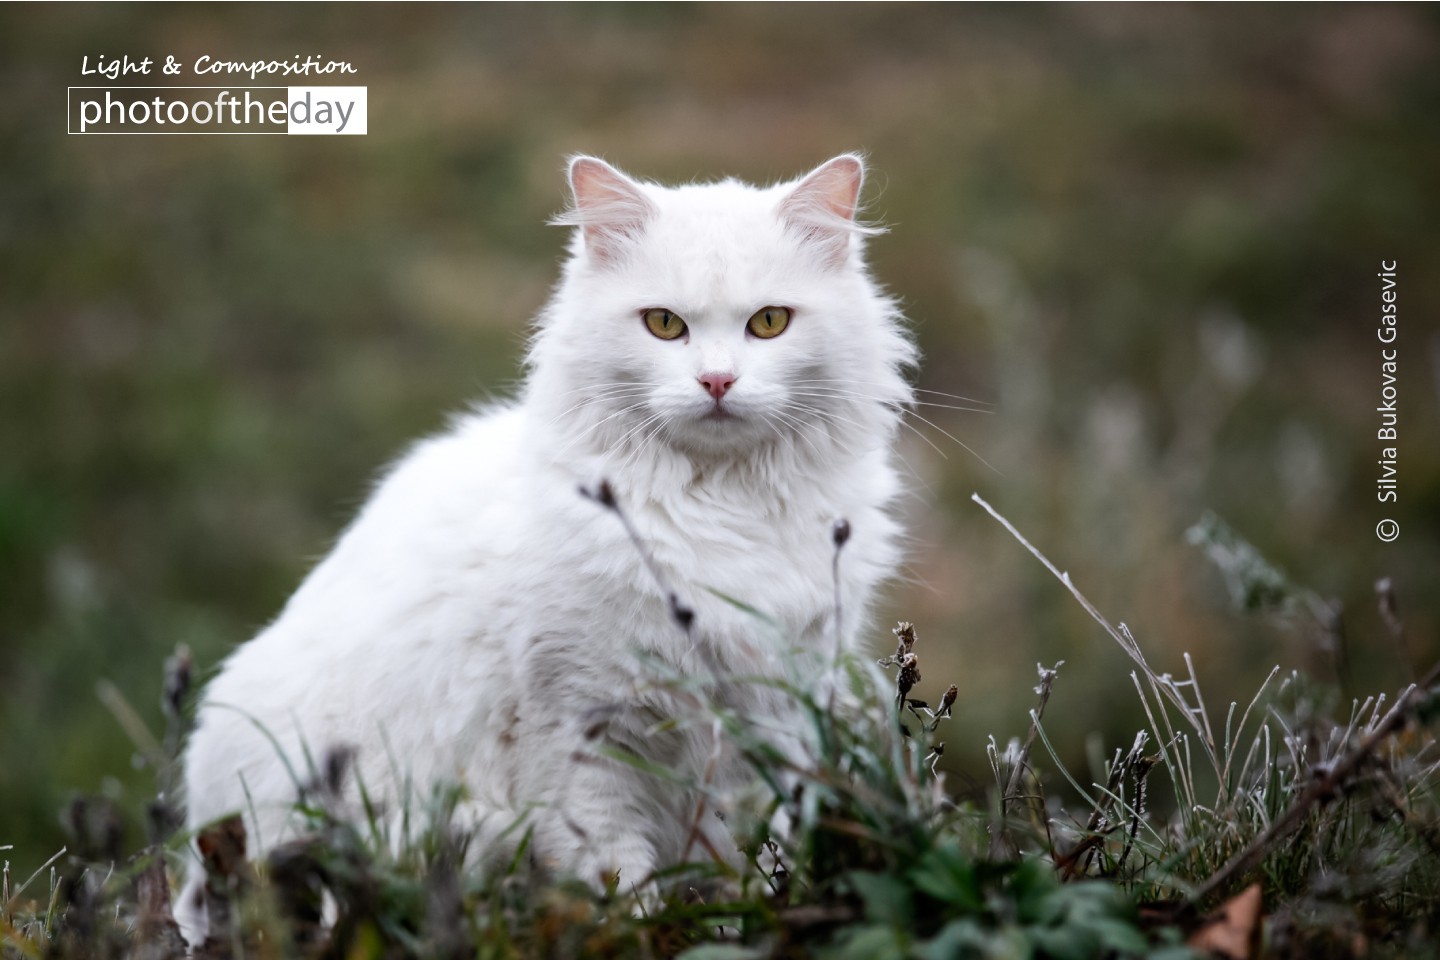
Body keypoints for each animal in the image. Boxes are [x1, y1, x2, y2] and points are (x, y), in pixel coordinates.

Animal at [177, 154, 910, 944]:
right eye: (664, 325)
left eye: (769, 323)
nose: (716, 381)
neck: (719, 509)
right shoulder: (579, 728)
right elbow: (616, 872)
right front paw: (638, 931)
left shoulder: (769, 722)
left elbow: (748, 861)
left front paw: (740, 924)